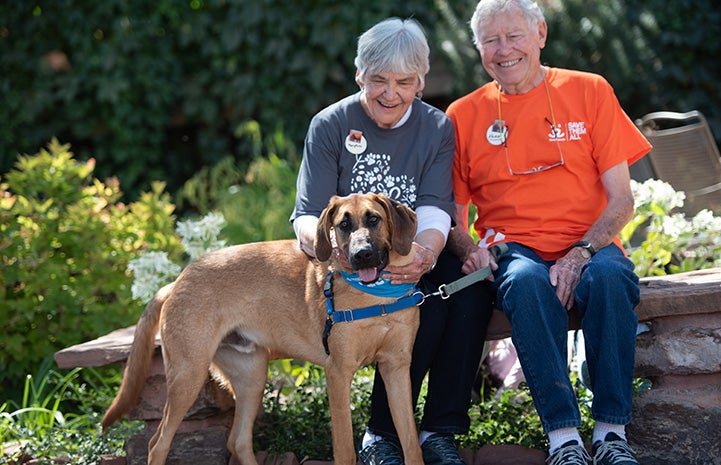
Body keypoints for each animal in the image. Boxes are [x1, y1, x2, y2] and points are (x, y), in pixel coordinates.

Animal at [102, 192, 428, 464]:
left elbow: (411, 442)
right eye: (343, 225)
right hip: (188, 377)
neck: (378, 297)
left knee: (237, 442)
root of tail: (176, 281)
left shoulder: (397, 369)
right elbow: (345, 450)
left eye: (374, 219)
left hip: (251, 376)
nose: (362, 255)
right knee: (158, 443)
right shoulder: (338, 373)